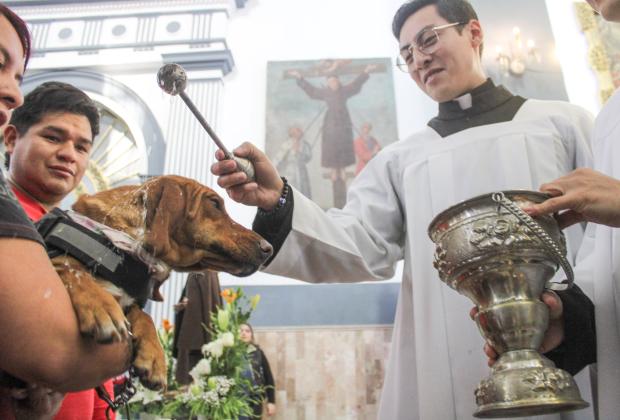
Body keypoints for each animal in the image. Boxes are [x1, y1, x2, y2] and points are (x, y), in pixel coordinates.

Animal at [52, 175, 270, 390]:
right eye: (215, 204)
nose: (269, 248)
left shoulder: (130, 300)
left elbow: (144, 315)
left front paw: (154, 356)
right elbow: (71, 270)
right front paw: (100, 304)